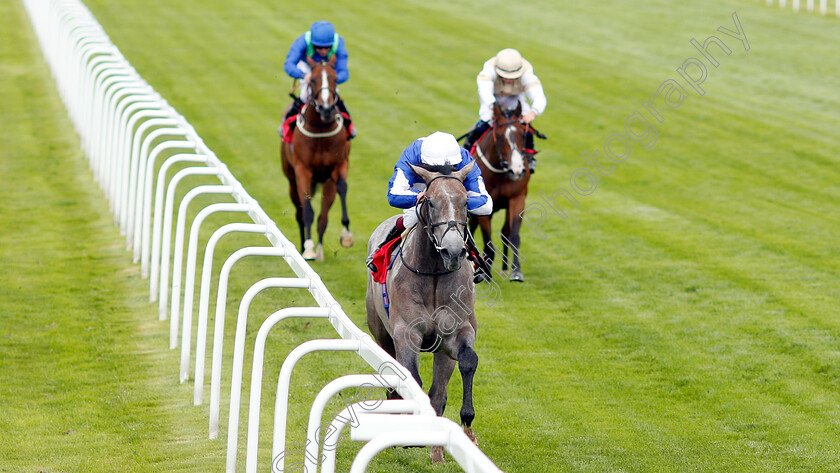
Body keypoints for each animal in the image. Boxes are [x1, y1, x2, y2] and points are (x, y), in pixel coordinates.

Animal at [278, 56, 352, 262]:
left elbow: (342, 188)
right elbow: (307, 210)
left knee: (324, 215)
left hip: (326, 183)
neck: (320, 130)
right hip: (291, 179)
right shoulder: (302, 170)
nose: (326, 109)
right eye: (312, 80)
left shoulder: (339, 164)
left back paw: (319, 249)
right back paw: (304, 245)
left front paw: (346, 235)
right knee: (300, 212)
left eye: (335, 79)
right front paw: (308, 247)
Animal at [366, 161, 480, 460]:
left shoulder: (456, 333)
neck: (434, 275)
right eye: (429, 201)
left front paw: (468, 427)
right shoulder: (406, 333)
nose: (453, 251)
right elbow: (410, 378)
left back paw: (437, 450)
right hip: (380, 332)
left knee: (439, 391)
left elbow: (468, 361)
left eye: (466, 201)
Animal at [470, 103, 528, 280]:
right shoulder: (482, 208)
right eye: (501, 137)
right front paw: (485, 274)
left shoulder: (517, 198)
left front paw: (516, 272)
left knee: (505, 232)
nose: (517, 170)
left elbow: (513, 235)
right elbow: (488, 242)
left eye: (522, 134)